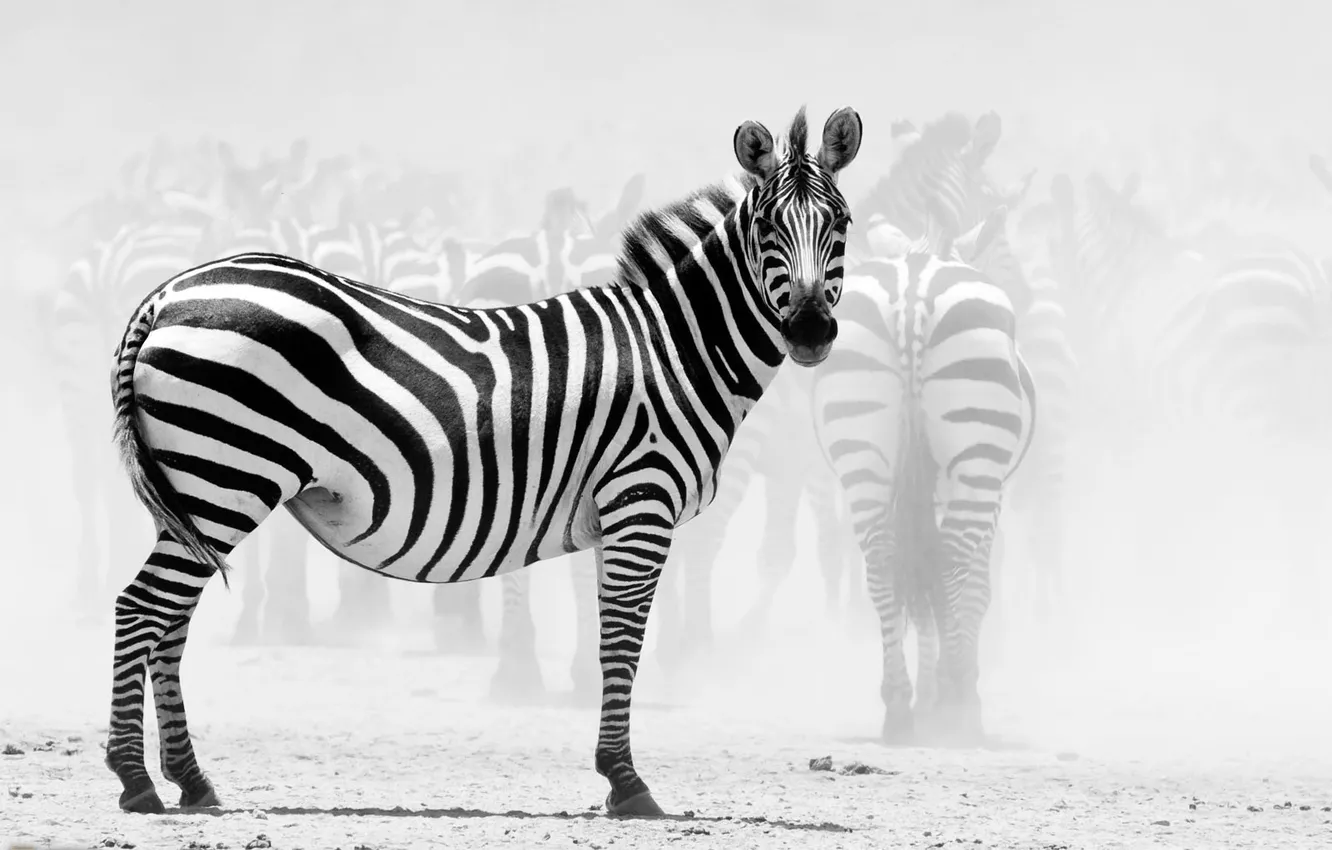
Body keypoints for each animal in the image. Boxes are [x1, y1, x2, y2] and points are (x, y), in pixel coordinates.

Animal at [102, 105, 863, 816]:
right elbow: (623, 641)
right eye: (767, 227)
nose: (810, 332)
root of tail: (167, 294)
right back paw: (135, 780)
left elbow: (609, 635)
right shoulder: (641, 501)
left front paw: (615, 771)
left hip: (198, 491)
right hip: (226, 477)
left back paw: (191, 779)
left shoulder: (614, 515)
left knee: (170, 619)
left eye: (843, 223)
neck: (673, 348)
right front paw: (626, 782)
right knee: (140, 607)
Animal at [811, 210, 1037, 744]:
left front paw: (926, 695)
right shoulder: (991, 496)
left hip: (861, 447)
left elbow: (918, 586)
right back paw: (960, 704)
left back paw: (898, 705)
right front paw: (945, 693)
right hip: (977, 453)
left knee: (882, 562)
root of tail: (912, 289)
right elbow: (975, 589)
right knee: (950, 562)